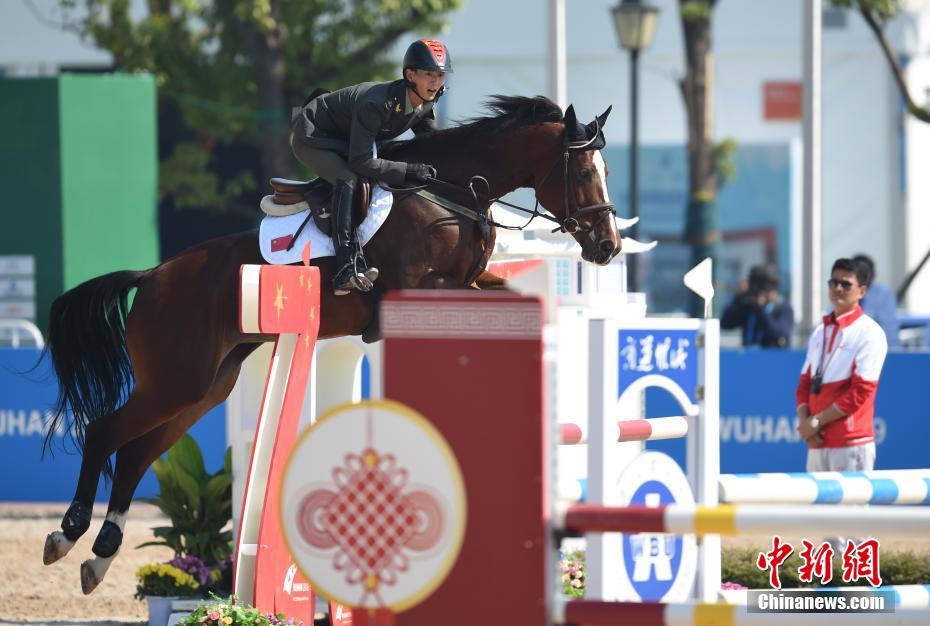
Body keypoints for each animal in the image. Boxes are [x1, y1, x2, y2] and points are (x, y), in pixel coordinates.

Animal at [40, 95, 619, 593]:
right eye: (584, 173)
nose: (608, 247)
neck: (453, 195)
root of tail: (153, 275)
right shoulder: (423, 288)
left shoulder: (472, 282)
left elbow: (521, 295)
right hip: (174, 380)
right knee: (103, 432)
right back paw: (67, 535)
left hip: (203, 388)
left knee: (136, 453)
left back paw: (100, 556)